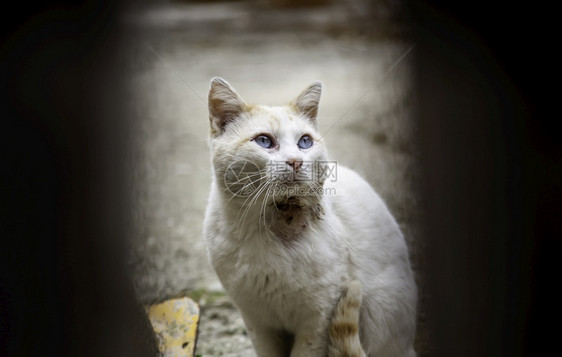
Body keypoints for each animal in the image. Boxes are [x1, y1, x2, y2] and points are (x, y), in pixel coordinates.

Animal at [203, 76, 414, 354]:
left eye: (305, 142)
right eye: (264, 141)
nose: (295, 161)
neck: (266, 227)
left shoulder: (319, 319)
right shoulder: (258, 323)